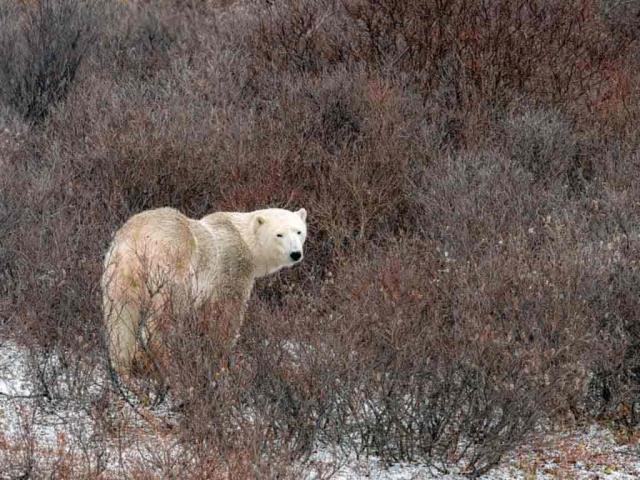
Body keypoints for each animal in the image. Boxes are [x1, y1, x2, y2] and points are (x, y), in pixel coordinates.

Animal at [101, 207, 307, 380]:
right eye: (279, 234)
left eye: (299, 231)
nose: (295, 254)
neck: (244, 239)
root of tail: (137, 237)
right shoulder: (232, 271)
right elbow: (226, 316)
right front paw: (222, 360)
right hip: (171, 265)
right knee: (163, 316)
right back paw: (167, 365)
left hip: (119, 272)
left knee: (120, 320)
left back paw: (124, 370)